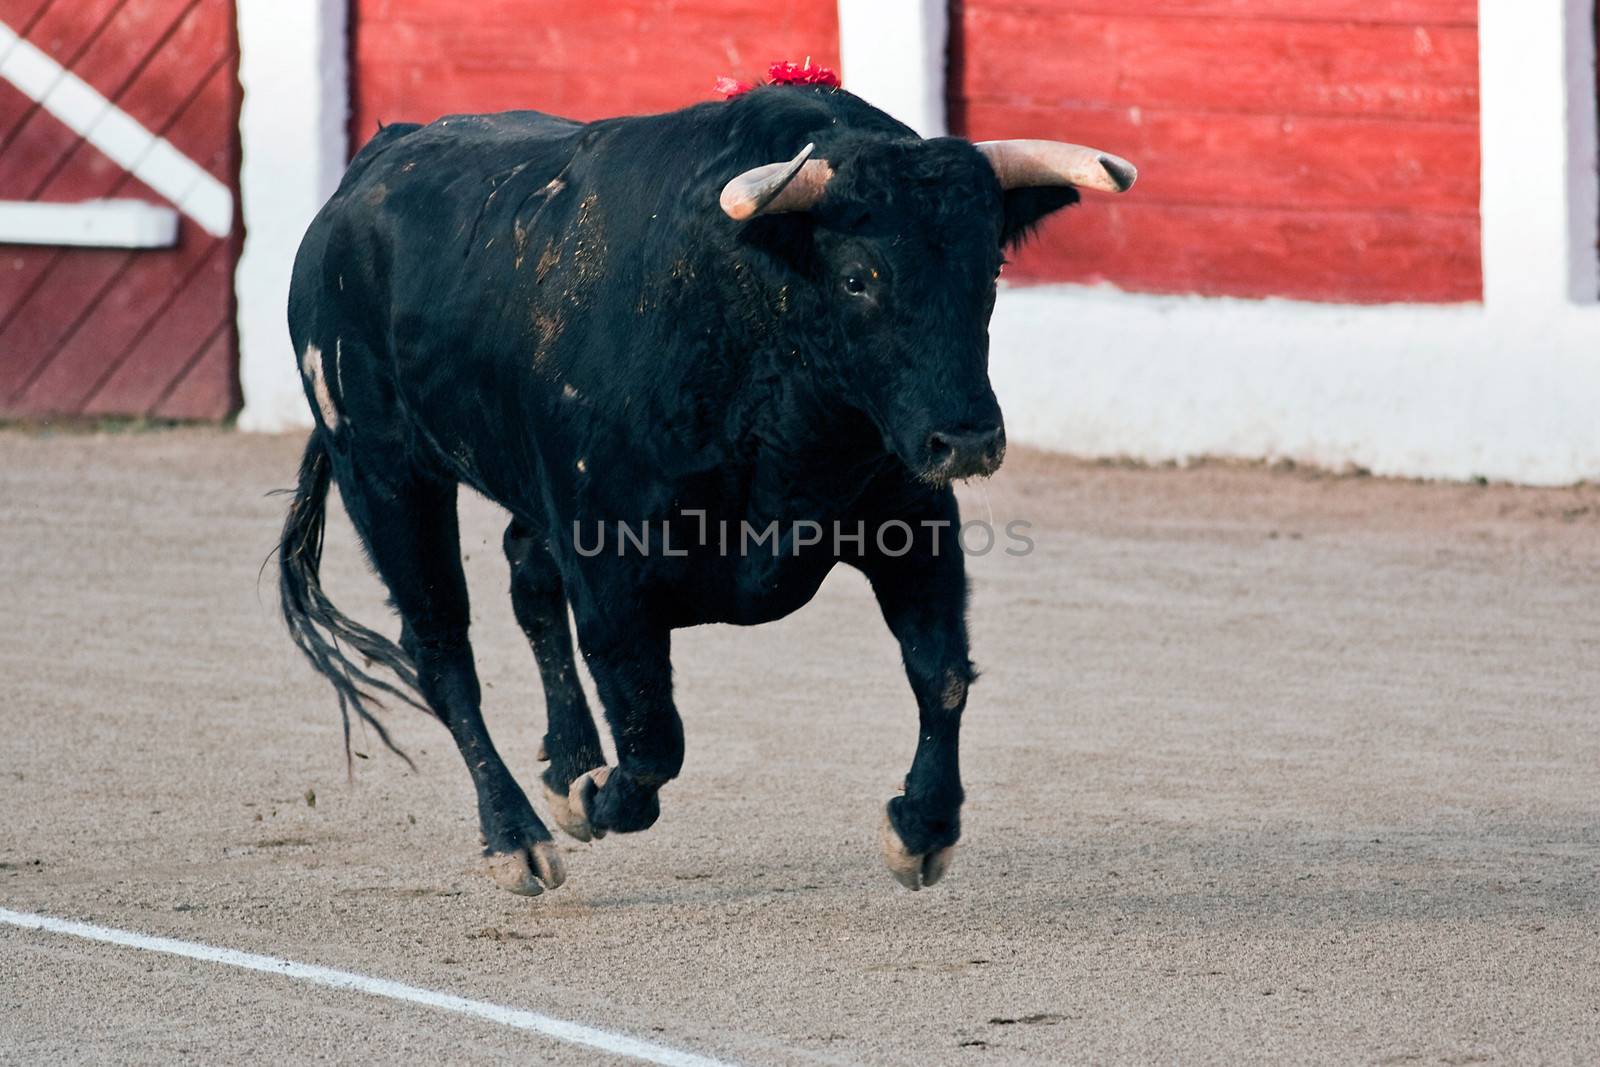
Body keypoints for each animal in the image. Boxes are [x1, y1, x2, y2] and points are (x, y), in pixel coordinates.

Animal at [275, 83, 1132, 895]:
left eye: (990, 270)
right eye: (858, 277)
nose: (969, 438)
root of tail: (372, 164)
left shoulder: (911, 519)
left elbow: (942, 671)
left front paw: (921, 829)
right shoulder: (610, 565)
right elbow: (654, 736)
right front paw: (595, 797)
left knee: (525, 573)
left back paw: (568, 764)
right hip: (383, 470)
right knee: (442, 648)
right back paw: (517, 836)